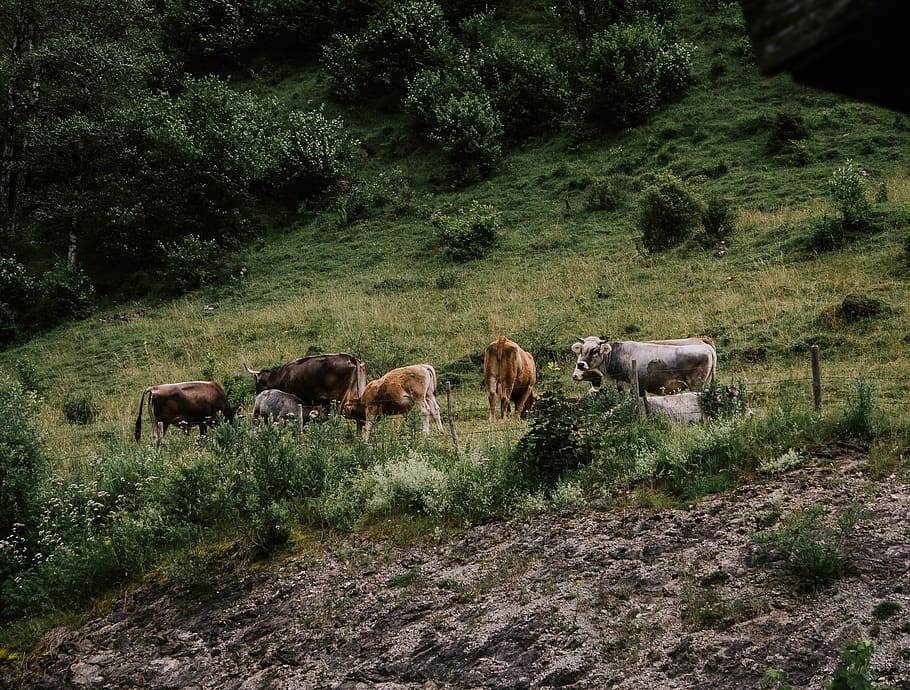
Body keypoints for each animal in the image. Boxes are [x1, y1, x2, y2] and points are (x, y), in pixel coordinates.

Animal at [572, 337, 716, 395]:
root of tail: (707, 347)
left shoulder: (624, 385)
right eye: (581, 350)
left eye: (594, 350)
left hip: (697, 385)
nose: (580, 364)